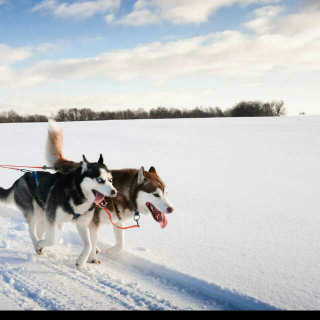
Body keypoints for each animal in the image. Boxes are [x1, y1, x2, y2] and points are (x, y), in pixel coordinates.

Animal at [45, 121, 175, 264]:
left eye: (166, 194)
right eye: (156, 194)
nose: (171, 209)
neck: (125, 194)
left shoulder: (118, 222)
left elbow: (120, 244)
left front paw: (109, 251)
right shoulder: (94, 223)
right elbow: (93, 241)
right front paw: (93, 258)